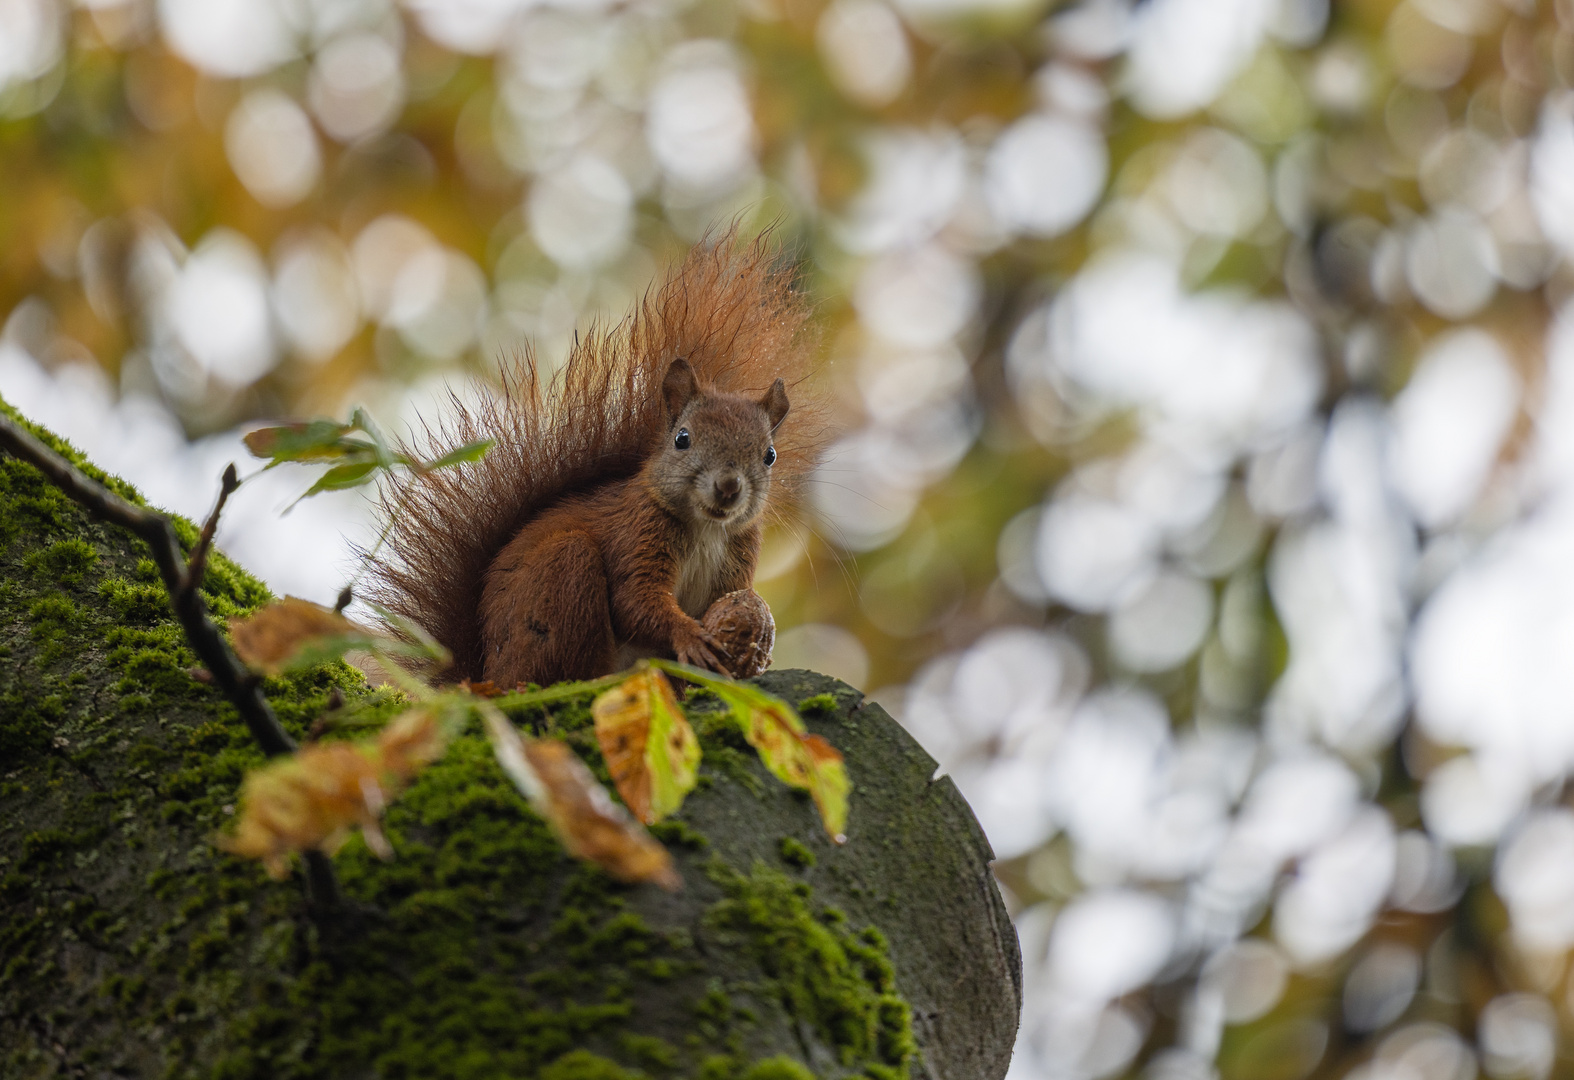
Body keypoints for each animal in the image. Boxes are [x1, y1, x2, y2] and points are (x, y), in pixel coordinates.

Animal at [360, 233, 818, 689]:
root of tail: (488, 678)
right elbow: (636, 601)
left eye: (769, 455)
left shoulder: (736, 561)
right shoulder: (635, 534)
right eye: (682, 439)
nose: (728, 487)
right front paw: (690, 635)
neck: (708, 530)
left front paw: (756, 643)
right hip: (565, 573)